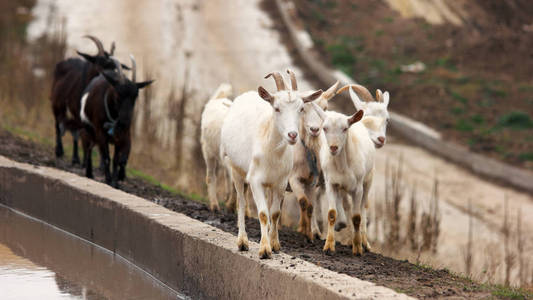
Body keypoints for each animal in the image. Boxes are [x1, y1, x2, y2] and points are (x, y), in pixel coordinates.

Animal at [80, 55, 153, 186]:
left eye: (136, 95)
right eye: (118, 93)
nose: (125, 121)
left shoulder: (123, 135)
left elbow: (118, 159)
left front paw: (116, 180)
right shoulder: (101, 134)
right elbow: (107, 158)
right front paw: (109, 179)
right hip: (89, 132)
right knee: (88, 147)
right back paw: (89, 173)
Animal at [219, 71, 320, 258]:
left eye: (301, 109)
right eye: (277, 108)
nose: (292, 135)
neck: (272, 151)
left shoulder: (280, 182)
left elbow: (275, 213)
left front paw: (275, 244)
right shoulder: (255, 180)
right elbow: (263, 213)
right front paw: (264, 250)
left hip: (270, 183)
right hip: (236, 170)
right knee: (241, 202)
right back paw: (242, 242)